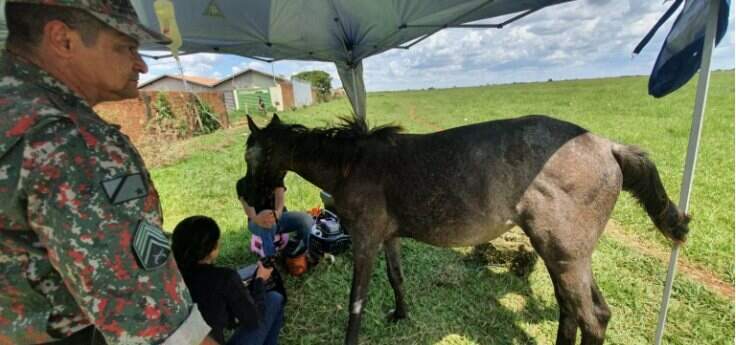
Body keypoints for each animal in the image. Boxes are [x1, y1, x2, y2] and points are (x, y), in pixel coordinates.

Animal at [244, 113, 688, 344]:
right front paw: (400, 314)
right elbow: (397, 278)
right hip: (567, 255)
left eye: (252, 157)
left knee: (591, 317)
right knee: (577, 311)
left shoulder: (366, 240)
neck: (354, 164)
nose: (250, 197)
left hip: (564, 255)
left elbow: (357, 301)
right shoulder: (388, 237)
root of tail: (610, 147)